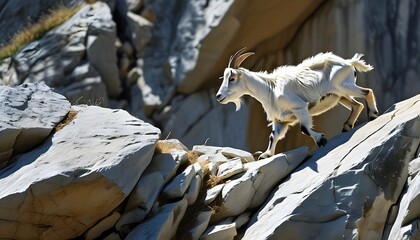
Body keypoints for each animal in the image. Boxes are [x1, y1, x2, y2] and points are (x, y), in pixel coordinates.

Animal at [217, 48, 378, 159]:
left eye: (231, 78)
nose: (219, 96)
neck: (270, 90)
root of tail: (349, 62)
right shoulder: (281, 120)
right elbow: (273, 136)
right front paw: (266, 155)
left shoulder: (299, 108)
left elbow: (304, 129)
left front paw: (321, 140)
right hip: (340, 95)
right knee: (357, 105)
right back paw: (346, 127)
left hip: (344, 86)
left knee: (367, 92)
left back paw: (373, 116)